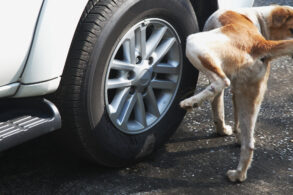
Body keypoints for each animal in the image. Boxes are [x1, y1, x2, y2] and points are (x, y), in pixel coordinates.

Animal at [179, 4, 292, 182]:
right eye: (292, 29)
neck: (258, 17)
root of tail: (261, 44)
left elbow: (217, 108)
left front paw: (222, 130)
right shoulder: (238, 93)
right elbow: (226, 116)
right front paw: (230, 134)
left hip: (194, 42)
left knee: (221, 81)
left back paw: (191, 102)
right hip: (251, 99)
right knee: (249, 144)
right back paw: (239, 175)